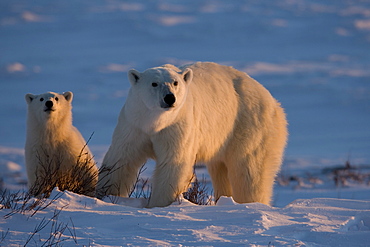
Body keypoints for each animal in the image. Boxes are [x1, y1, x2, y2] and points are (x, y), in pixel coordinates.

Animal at [97, 61, 288, 206]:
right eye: (154, 83)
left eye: (175, 83)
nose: (169, 98)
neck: (155, 123)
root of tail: (272, 101)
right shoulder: (133, 124)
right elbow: (121, 159)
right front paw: (104, 194)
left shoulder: (178, 125)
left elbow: (173, 162)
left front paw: (157, 205)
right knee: (220, 169)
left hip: (248, 124)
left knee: (249, 171)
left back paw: (251, 203)